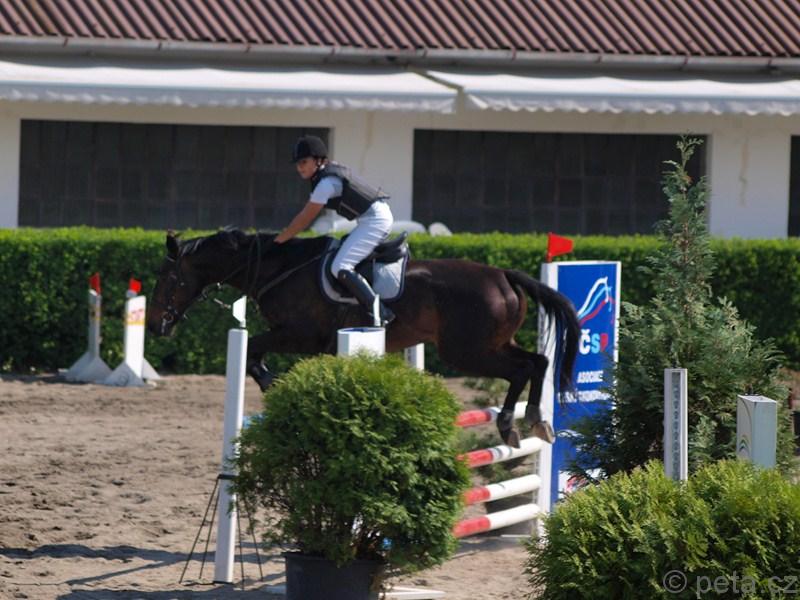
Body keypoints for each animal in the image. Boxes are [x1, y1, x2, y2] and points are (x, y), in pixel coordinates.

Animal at [146, 229, 580, 448]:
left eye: (166, 276)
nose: (154, 327)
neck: (278, 266)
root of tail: (504, 275)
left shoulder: (299, 335)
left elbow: (253, 349)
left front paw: (272, 383)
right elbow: (258, 354)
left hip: (465, 352)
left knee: (522, 368)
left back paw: (513, 423)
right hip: (489, 344)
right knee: (537, 362)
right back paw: (535, 419)